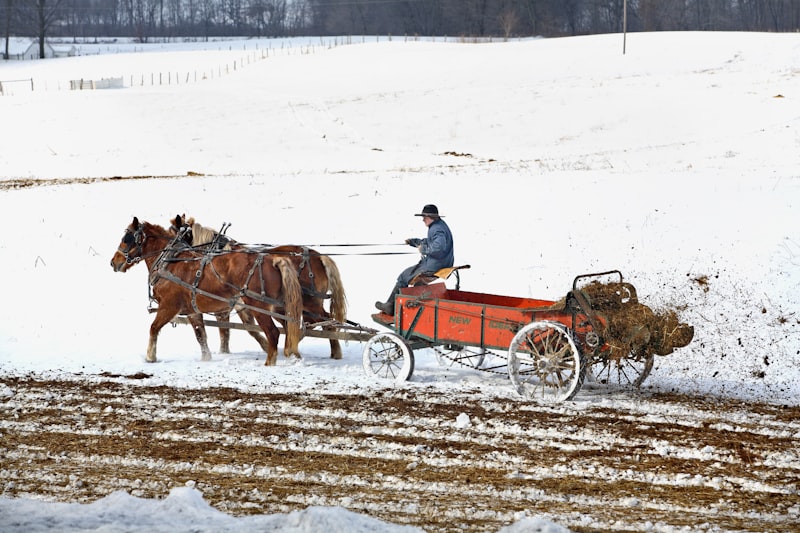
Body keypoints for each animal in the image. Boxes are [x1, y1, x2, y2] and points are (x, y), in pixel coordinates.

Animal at [109, 216, 304, 366]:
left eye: (126, 238)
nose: (114, 262)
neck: (169, 262)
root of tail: (273, 259)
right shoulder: (192, 310)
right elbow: (200, 334)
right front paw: (206, 357)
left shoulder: (169, 306)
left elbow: (154, 328)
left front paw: (150, 357)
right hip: (279, 306)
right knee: (291, 328)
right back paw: (292, 354)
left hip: (259, 306)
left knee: (274, 332)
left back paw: (270, 361)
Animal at [170, 214, 348, 360]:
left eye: (173, 235)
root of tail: (320, 258)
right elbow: (233, 330)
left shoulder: (237, 305)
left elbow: (240, 329)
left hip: (309, 303)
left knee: (326, 321)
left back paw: (332, 352)